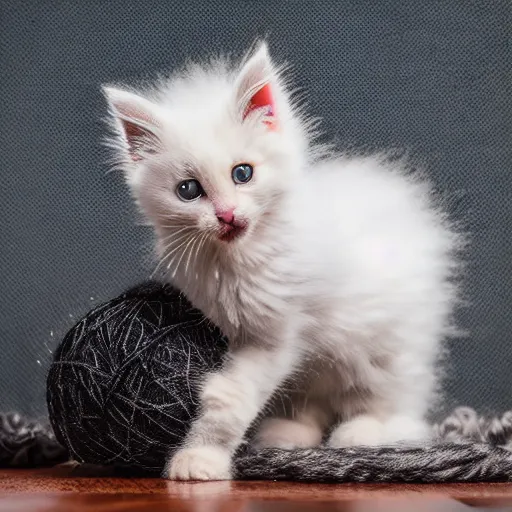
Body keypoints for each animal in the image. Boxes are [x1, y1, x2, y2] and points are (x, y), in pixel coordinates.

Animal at [103, 41, 460, 480]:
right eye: (188, 190)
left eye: (242, 173)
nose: (226, 216)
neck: (237, 258)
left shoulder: (276, 333)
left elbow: (229, 399)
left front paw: (199, 459)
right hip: (321, 368)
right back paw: (290, 433)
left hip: (387, 347)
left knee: (397, 406)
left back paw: (364, 432)